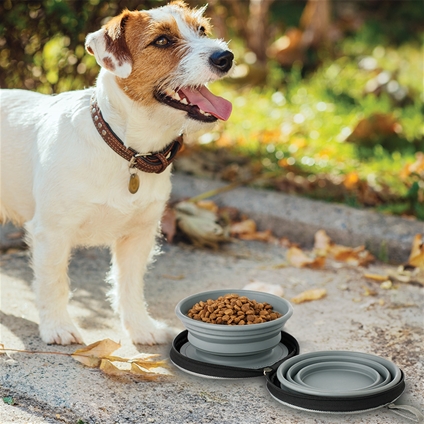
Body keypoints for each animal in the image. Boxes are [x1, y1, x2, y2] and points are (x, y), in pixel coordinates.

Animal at [0, 2, 234, 344]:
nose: (225, 57)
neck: (127, 150)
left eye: (202, 30)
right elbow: (53, 283)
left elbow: (130, 285)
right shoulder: (52, 233)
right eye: (162, 41)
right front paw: (57, 326)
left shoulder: (138, 236)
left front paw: (140, 328)